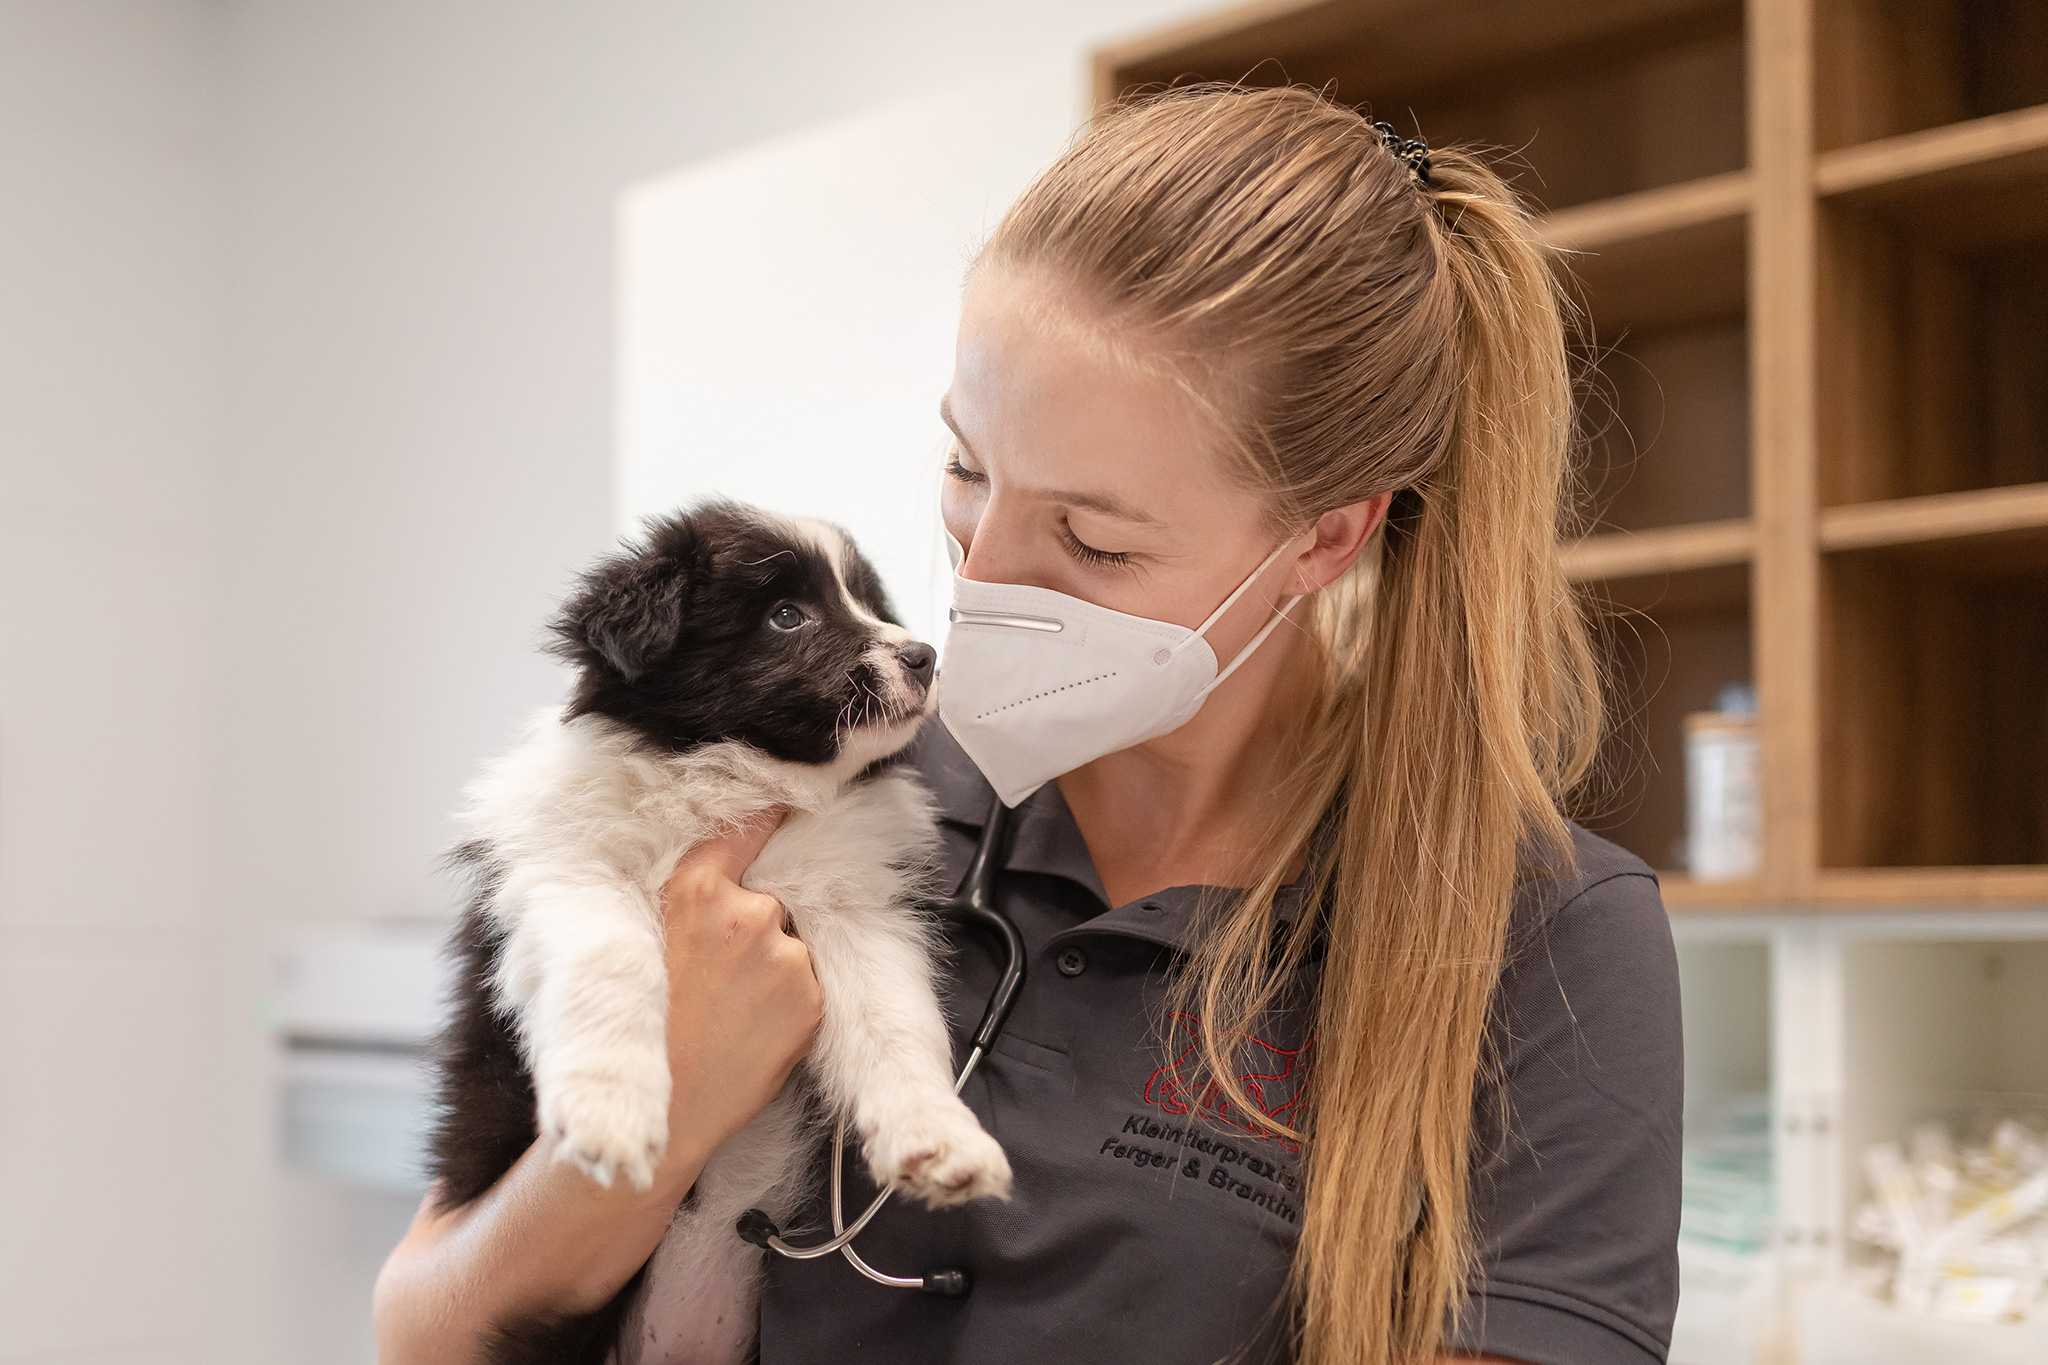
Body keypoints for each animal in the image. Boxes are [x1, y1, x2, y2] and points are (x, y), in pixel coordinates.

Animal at [430, 501, 1007, 1365]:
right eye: (786, 615)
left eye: (868, 600)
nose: (924, 654)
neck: (736, 782)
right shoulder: (565, 866)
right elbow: (613, 958)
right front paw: (611, 1111)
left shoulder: (853, 905)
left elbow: (894, 1021)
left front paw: (940, 1138)